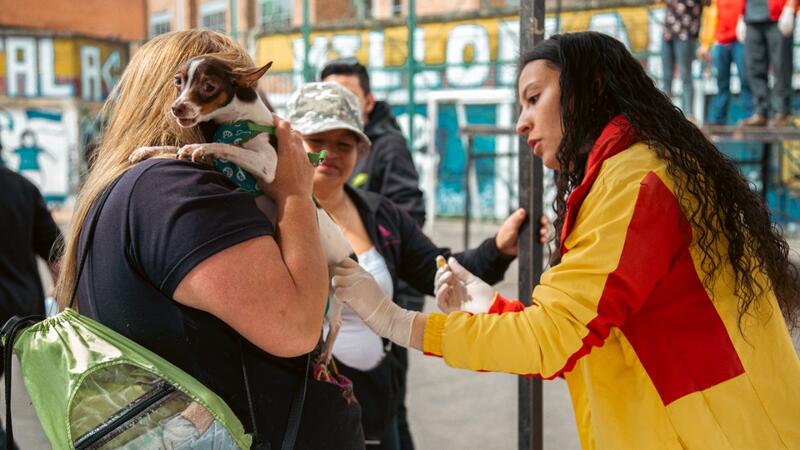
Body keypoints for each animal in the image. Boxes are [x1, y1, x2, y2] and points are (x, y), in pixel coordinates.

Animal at [130, 57, 350, 366]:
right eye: (178, 81)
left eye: (209, 86)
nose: (176, 108)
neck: (236, 122)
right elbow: (179, 147)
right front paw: (147, 150)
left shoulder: (268, 164)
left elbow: (226, 147)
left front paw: (201, 145)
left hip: (334, 282)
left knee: (337, 323)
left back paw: (326, 351)